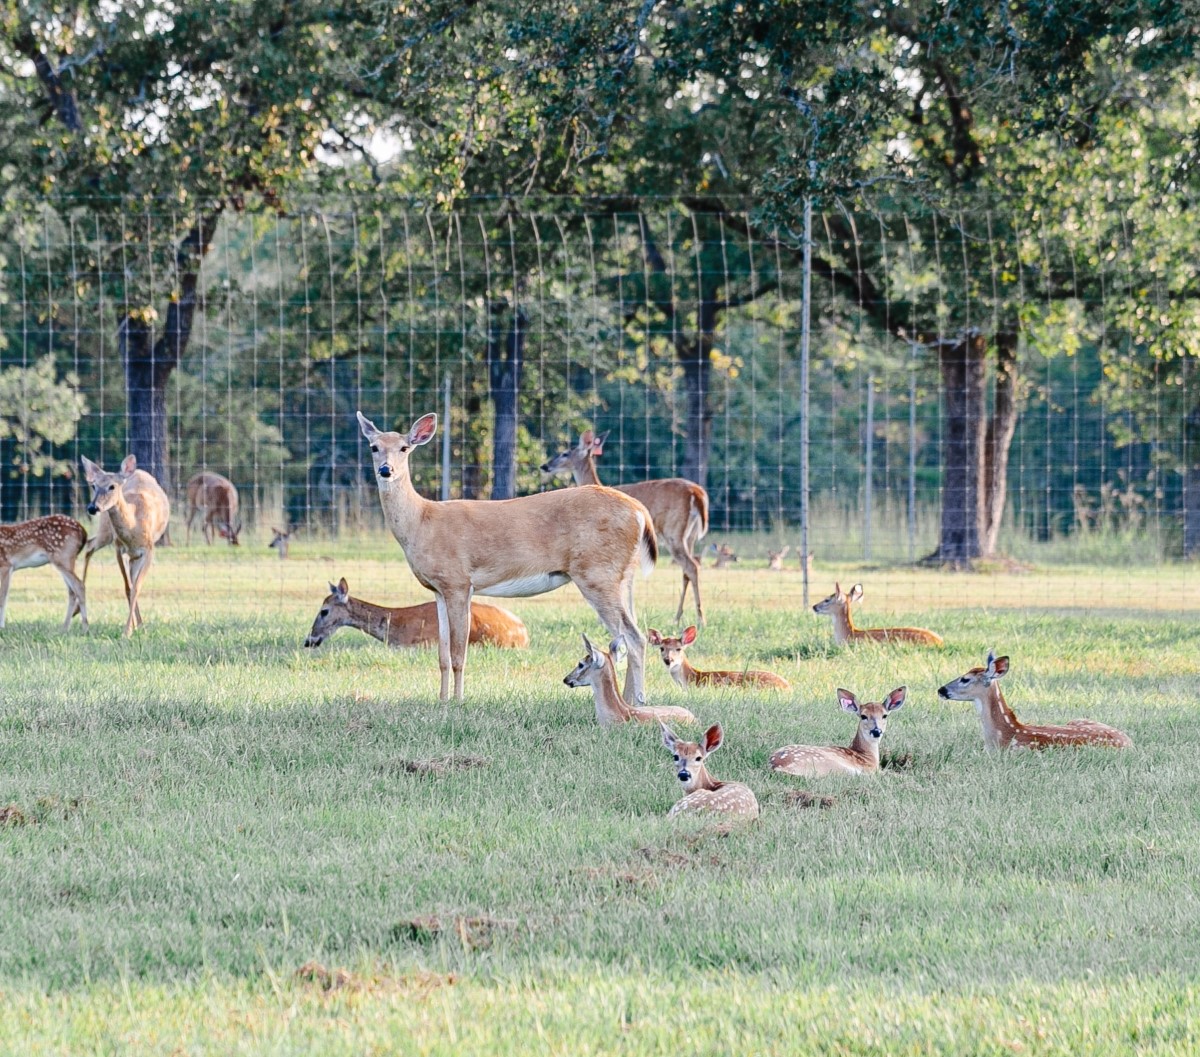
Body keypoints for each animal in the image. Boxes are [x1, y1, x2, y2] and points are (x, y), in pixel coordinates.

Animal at [80, 455, 171, 637]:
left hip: (131, 553)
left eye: (112, 486)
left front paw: (130, 629)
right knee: (90, 545)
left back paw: (139, 624)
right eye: (94, 486)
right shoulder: (118, 548)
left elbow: (136, 588)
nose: (92, 507)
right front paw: (128, 630)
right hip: (106, 532)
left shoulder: (149, 550)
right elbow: (128, 588)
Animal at [358, 411, 656, 703]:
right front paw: (442, 700)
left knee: (635, 637)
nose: (386, 470)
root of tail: (639, 511)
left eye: (404, 447)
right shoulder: (438, 589)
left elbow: (458, 653)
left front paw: (458, 701)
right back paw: (628, 700)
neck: (422, 522)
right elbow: (442, 654)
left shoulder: (458, 582)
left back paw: (637, 701)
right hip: (620, 576)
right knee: (628, 634)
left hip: (596, 573)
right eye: (374, 447)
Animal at [541, 429, 709, 625]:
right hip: (690, 535)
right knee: (687, 569)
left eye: (565, 453)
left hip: (673, 531)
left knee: (691, 566)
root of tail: (697, 493)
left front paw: (612, 618)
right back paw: (678, 617)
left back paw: (699, 619)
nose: (545, 466)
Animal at [770, 687, 907, 777]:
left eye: (884, 715)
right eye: (863, 716)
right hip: (833, 766)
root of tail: (777, 766)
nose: (877, 731)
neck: (866, 756)